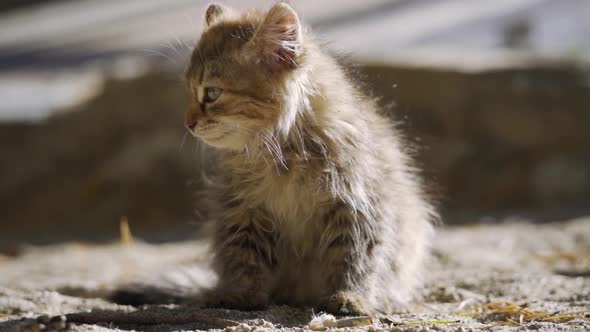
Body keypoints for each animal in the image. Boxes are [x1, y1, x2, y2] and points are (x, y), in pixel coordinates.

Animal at [185, 1, 440, 314]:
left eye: (212, 93)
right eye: (189, 91)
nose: (188, 123)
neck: (283, 152)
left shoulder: (357, 203)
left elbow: (354, 258)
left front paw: (349, 296)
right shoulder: (242, 208)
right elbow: (243, 254)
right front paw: (241, 294)